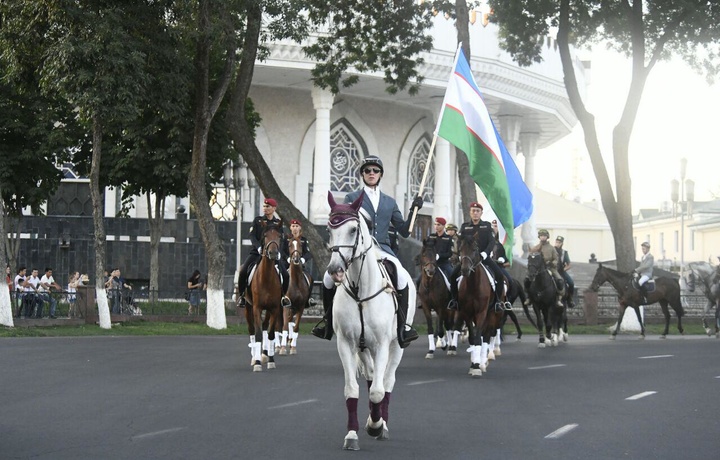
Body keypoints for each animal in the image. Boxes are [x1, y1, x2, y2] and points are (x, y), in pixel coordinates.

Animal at [324, 192, 414, 452]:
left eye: (354, 229)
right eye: (329, 229)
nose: (335, 270)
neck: (359, 290)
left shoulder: (382, 345)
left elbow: (377, 392)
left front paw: (376, 425)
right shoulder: (346, 344)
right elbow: (352, 389)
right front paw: (352, 434)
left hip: (396, 346)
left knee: (387, 381)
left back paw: (382, 424)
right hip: (363, 348)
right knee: (373, 375)